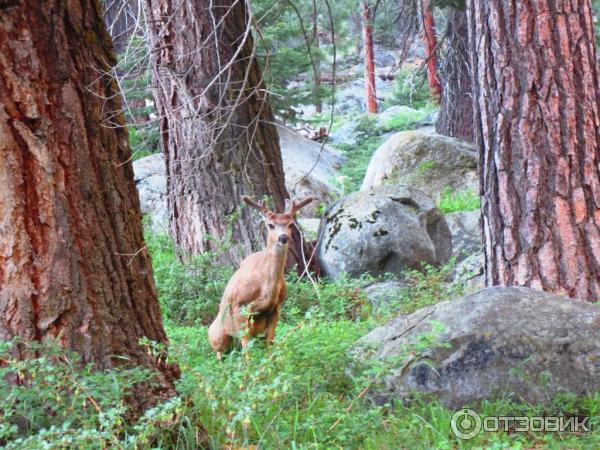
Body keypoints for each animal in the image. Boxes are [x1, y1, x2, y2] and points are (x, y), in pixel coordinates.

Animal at [207, 195, 314, 356]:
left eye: (290, 224)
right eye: (270, 225)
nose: (283, 237)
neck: (266, 285)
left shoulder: (276, 307)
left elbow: (270, 343)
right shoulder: (239, 305)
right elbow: (246, 347)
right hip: (217, 335)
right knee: (220, 351)